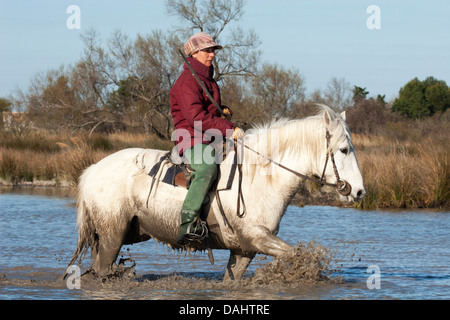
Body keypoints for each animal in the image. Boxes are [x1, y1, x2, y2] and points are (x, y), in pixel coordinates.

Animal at [64, 105, 366, 280]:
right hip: (112, 235)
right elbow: (298, 255)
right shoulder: (258, 238)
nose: (360, 192)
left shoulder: (244, 250)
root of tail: (92, 170)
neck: (261, 178)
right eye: (343, 150)